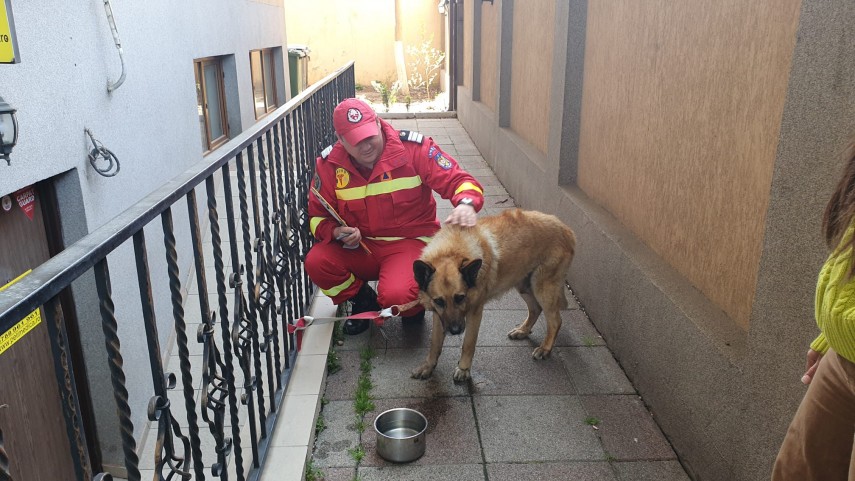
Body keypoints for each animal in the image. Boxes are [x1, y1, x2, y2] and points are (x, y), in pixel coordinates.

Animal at [412, 208, 580, 380]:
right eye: (439, 301)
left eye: (460, 298)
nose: (455, 331)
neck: (452, 250)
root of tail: (567, 230)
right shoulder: (439, 316)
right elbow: (435, 343)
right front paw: (429, 366)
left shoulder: (474, 313)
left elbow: (468, 344)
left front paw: (464, 369)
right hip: (523, 284)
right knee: (535, 309)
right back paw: (523, 331)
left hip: (542, 288)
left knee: (555, 320)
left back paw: (545, 348)